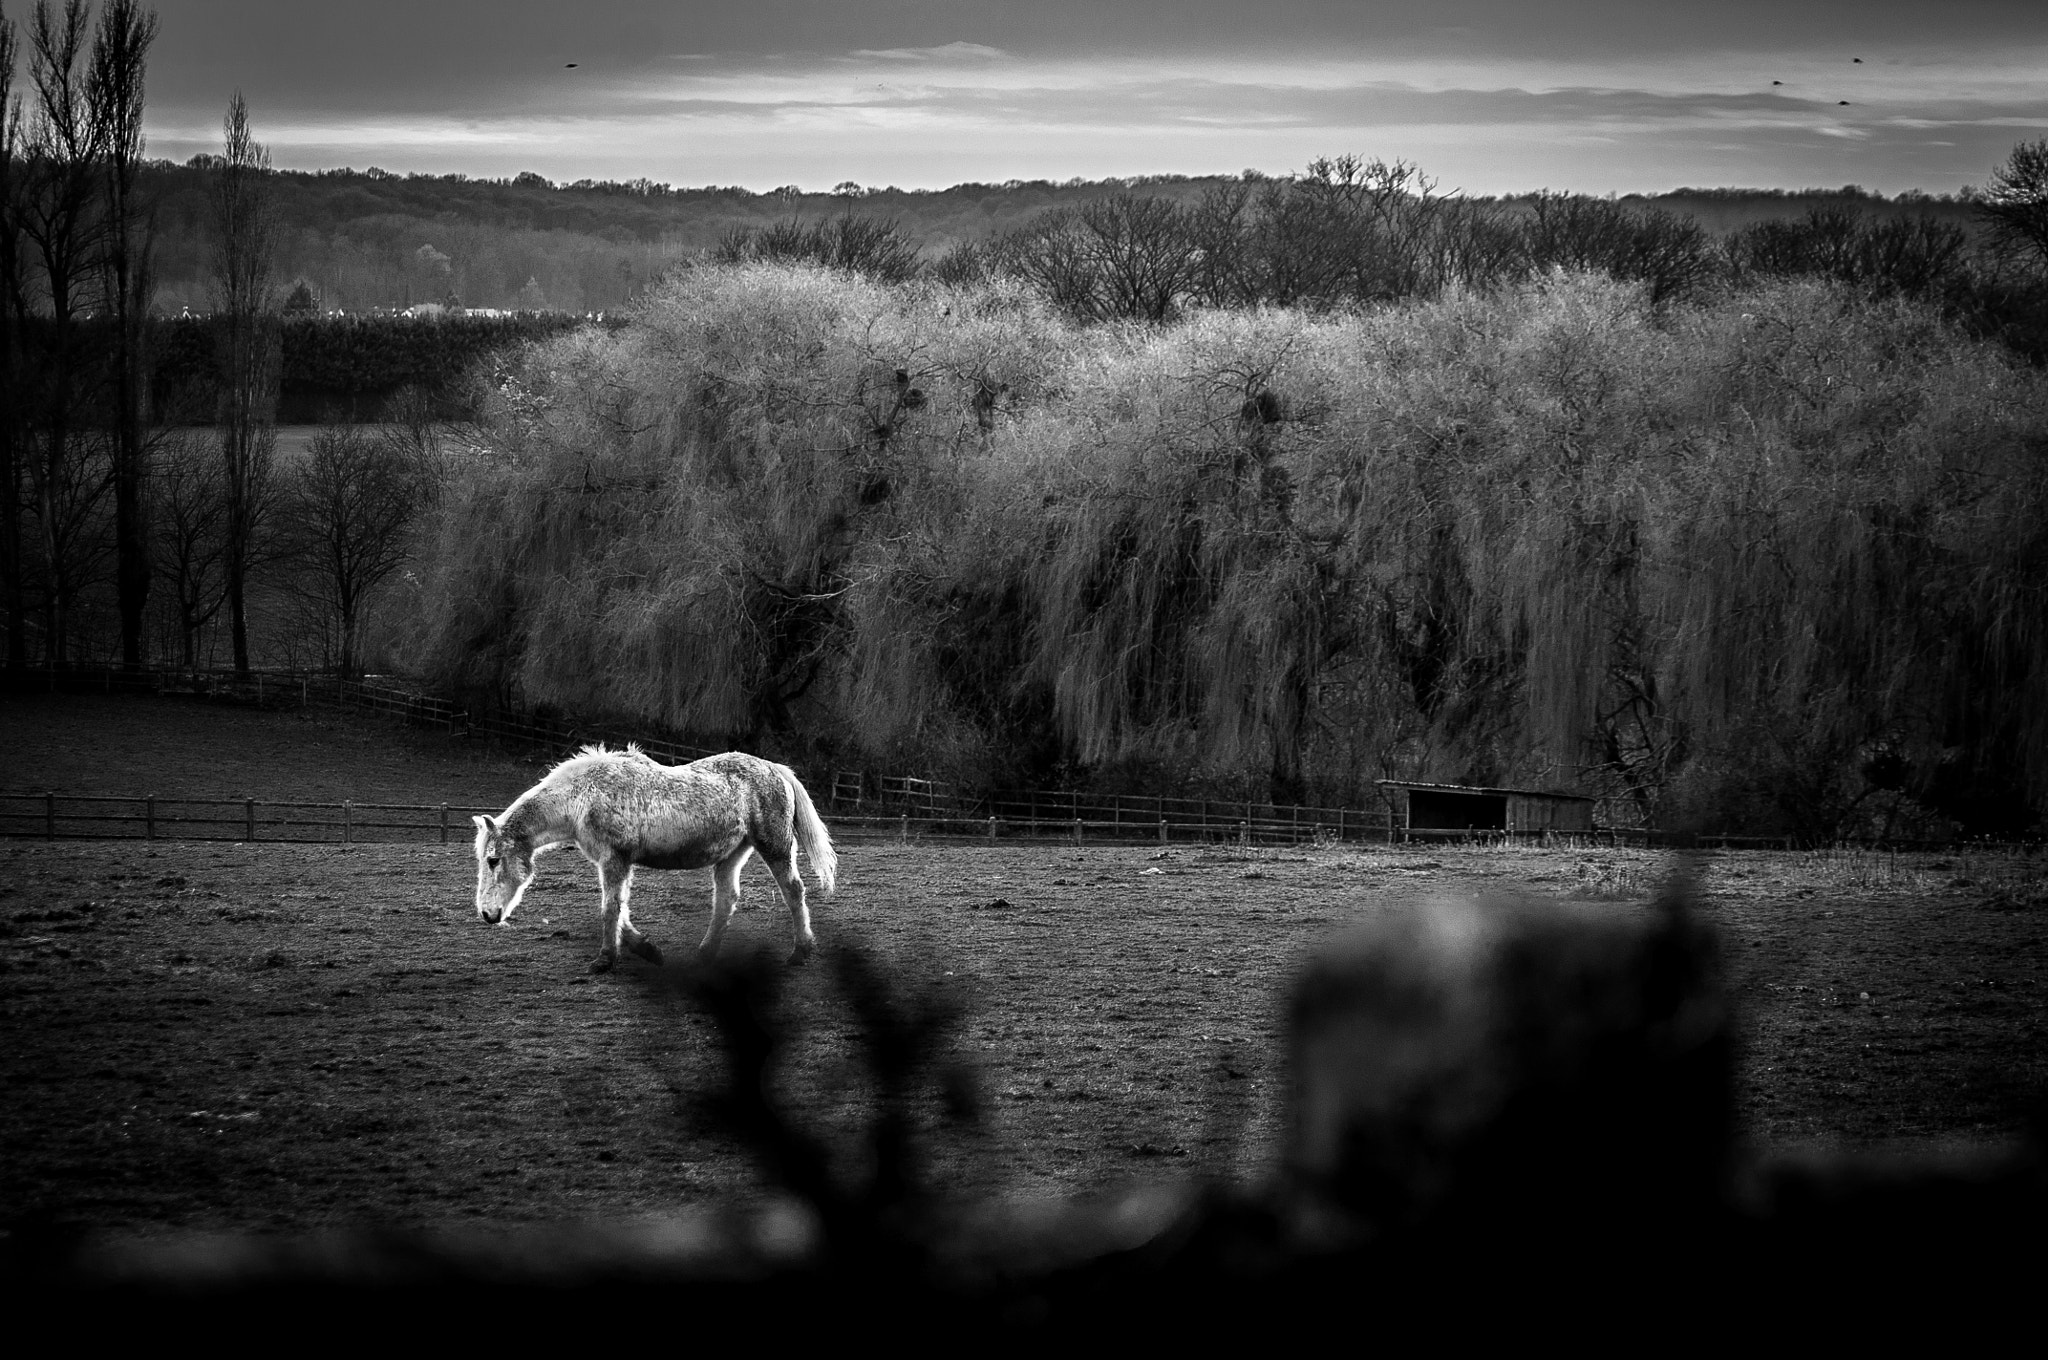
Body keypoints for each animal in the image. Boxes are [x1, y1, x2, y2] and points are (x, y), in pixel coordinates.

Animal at [471, 745, 838, 972]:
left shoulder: (614, 860)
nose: (488, 914)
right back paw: (705, 953)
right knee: (726, 899)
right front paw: (647, 950)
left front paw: (605, 960)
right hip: (732, 854)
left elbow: (611, 908)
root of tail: (774, 768)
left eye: (492, 860)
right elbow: (620, 910)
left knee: (793, 891)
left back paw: (801, 952)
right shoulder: (616, 863)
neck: (582, 796)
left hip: (774, 847)